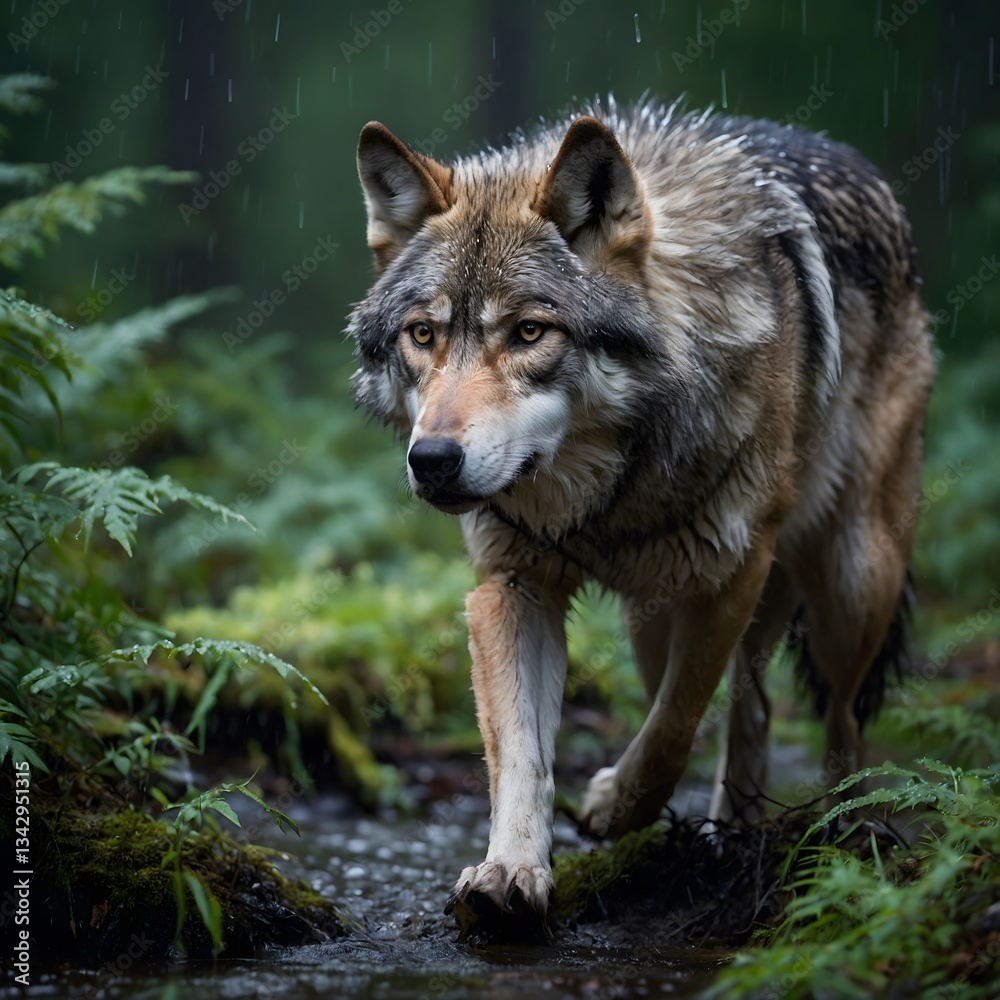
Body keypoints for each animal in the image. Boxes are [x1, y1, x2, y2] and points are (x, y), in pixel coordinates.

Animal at [347, 97, 935, 938]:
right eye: (422, 334)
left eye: (529, 332)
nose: (432, 460)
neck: (604, 502)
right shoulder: (511, 586)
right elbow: (523, 751)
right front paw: (511, 871)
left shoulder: (731, 574)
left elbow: (671, 729)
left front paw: (612, 806)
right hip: (654, 615)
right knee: (751, 705)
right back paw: (735, 831)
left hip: (851, 581)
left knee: (840, 724)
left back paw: (842, 832)